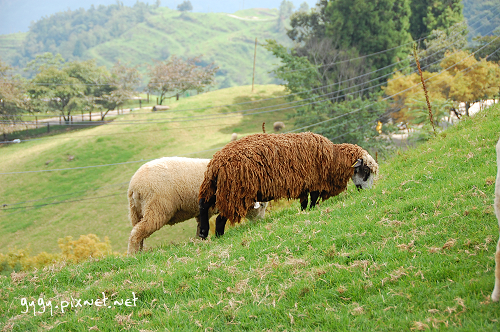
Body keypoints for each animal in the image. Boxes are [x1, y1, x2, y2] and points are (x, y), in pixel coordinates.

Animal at [127, 156, 268, 254]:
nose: (261, 222)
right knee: (137, 233)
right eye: (261, 206)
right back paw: (133, 255)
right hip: (157, 208)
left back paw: (139, 252)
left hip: (135, 211)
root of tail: (135, 186)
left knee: (137, 230)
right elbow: (205, 225)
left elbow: (200, 226)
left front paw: (198, 240)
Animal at [197, 132, 376, 239]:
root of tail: (217, 164)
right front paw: (312, 210)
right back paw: (219, 237)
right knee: (220, 219)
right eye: (366, 170)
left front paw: (304, 212)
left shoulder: (305, 184)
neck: (334, 158)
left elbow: (304, 201)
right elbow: (313, 198)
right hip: (233, 194)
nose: (368, 192)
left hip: (214, 189)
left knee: (203, 207)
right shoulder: (315, 182)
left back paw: (204, 233)